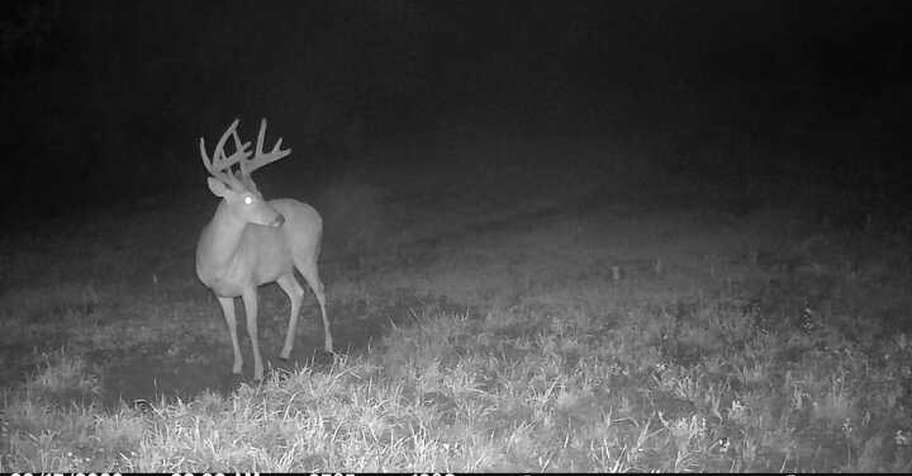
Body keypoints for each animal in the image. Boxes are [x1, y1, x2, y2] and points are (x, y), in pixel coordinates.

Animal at [196, 117, 333, 381]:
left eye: (260, 192)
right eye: (248, 198)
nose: (279, 219)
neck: (219, 262)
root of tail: (317, 214)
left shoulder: (249, 284)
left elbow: (252, 327)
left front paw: (259, 372)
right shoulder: (220, 293)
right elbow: (232, 326)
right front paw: (237, 366)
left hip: (307, 255)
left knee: (320, 290)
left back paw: (329, 346)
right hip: (281, 269)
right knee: (298, 293)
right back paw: (285, 351)